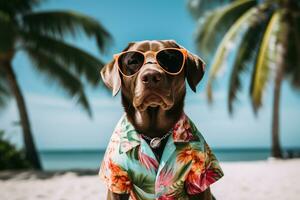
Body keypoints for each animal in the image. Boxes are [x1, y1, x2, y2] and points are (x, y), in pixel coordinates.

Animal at [99, 39, 223, 199]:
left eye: (169, 59)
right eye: (133, 61)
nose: (151, 76)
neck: (154, 132)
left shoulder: (200, 175)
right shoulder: (115, 179)